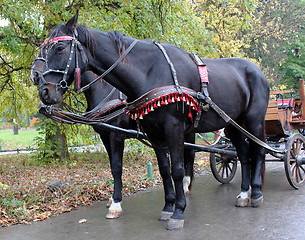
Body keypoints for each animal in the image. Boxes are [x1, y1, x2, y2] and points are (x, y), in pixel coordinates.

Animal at [30, 12, 268, 230]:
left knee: (258, 151)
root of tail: (257, 70)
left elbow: (171, 169)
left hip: (253, 122)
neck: (150, 72)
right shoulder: (152, 133)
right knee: (243, 154)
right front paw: (167, 206)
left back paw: (255, 192)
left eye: (60, 48)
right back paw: (244, 193)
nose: (42, 88)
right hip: (232, 125)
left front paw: (176, 211)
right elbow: (162, 169)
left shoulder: (159, 129)